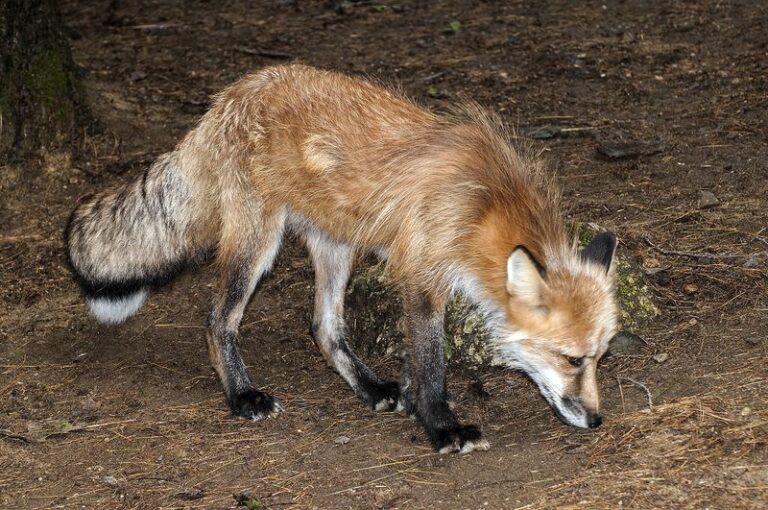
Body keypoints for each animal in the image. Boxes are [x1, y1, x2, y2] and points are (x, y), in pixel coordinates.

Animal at [65, 64, 619, 453]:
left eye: (599, 358)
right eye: (572, 360)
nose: (596, 420)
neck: (483, 206)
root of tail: (231, 93)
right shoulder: (421, 275)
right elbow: (431, 365)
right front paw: (442, 428)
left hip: (337, 246)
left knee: (323, 326)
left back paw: (369, 388)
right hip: (258, 243)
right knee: (218, 319)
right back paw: (242, 396)